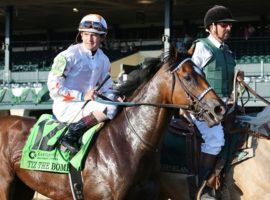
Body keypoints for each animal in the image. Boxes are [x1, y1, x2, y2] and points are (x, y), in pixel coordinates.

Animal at [0, 48, 226, 200]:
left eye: (203, 72)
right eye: (188, 77)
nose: (219, 108)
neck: (130, 143)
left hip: (23, 186)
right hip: (5, 185)